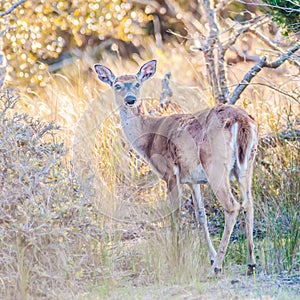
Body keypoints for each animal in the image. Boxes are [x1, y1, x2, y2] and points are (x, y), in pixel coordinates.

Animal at [94, 59, 258, 278]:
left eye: (137, 83)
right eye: (117, 85)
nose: (130, 100)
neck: (149, 136)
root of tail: (242, 121)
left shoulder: (169, 172)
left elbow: (174, 214)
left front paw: (177, 256)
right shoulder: (192, 180)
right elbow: (200, 216)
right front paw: (210, 256)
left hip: (214, 163)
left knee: (232, 206)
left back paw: (217, 268)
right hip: (246, 164)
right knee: (249, 203)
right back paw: (250, 264)